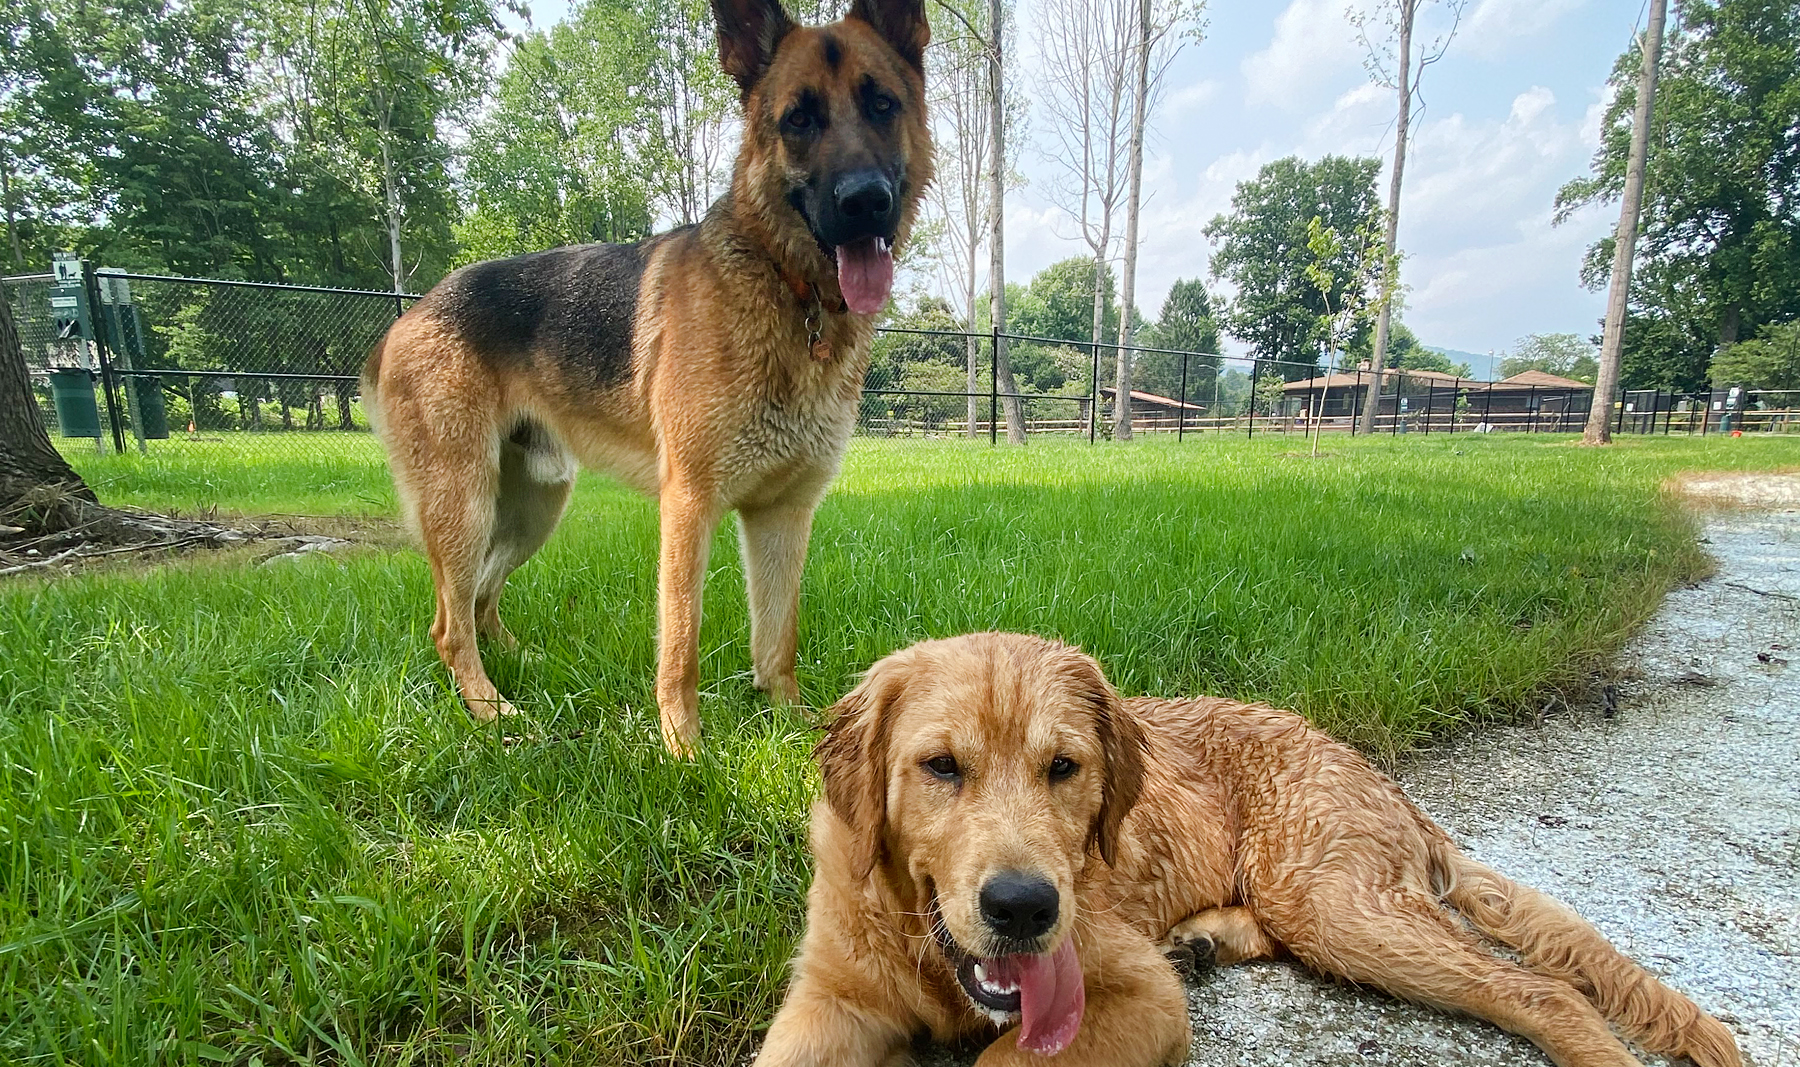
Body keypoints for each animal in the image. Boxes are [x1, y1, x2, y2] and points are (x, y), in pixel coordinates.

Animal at [360, 0, 936, 752]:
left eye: (882, 104)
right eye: (799, 119)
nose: (864, 200)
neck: (789, 290)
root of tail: (411, 314)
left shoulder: (784, 514)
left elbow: (777, 638)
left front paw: (796, 728)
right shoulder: (689, 504)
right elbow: (681, 644)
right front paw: (684, 748)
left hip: (532, 507)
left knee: (483, 598)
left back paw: (522, 662)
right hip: (465, 503)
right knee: (449, 623)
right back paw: (491, 708)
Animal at [759, 633, 1742, 1065]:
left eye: (1064, 767)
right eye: (940, 766)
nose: (1024, 907)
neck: (927, 952)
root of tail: (1387, 782)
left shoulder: (1134, 997)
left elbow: (1009, 1058)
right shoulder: (829, 1001)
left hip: (1335, 901)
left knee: (1541, 988)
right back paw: (1203, 937)